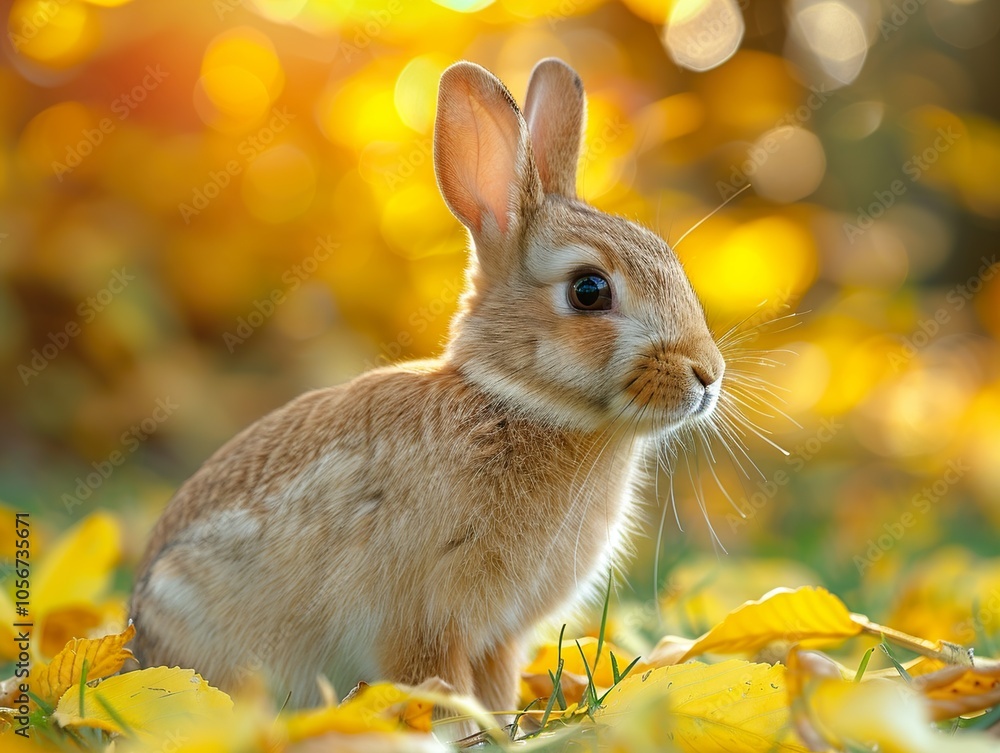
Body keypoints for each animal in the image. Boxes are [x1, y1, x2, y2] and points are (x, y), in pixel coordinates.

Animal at [129, 57, 725, 717]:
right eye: (589, 290)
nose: (708, 374)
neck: (515, 401)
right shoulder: (424, 622)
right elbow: (441, 691)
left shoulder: (498, 637)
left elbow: (493, 689)